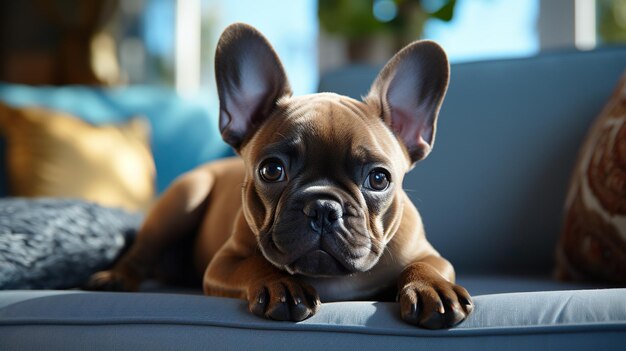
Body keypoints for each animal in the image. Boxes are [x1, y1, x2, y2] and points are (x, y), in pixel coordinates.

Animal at [86, 23, 468, 332]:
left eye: (378, 179)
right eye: (272, 170)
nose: (323, 207)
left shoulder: (429, 254)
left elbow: (425, 266)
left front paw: (432, 288)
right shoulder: (224, 264)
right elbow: (255, 265)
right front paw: (281, 287)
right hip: (185, 197)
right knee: (139, 253)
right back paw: (113, 278)